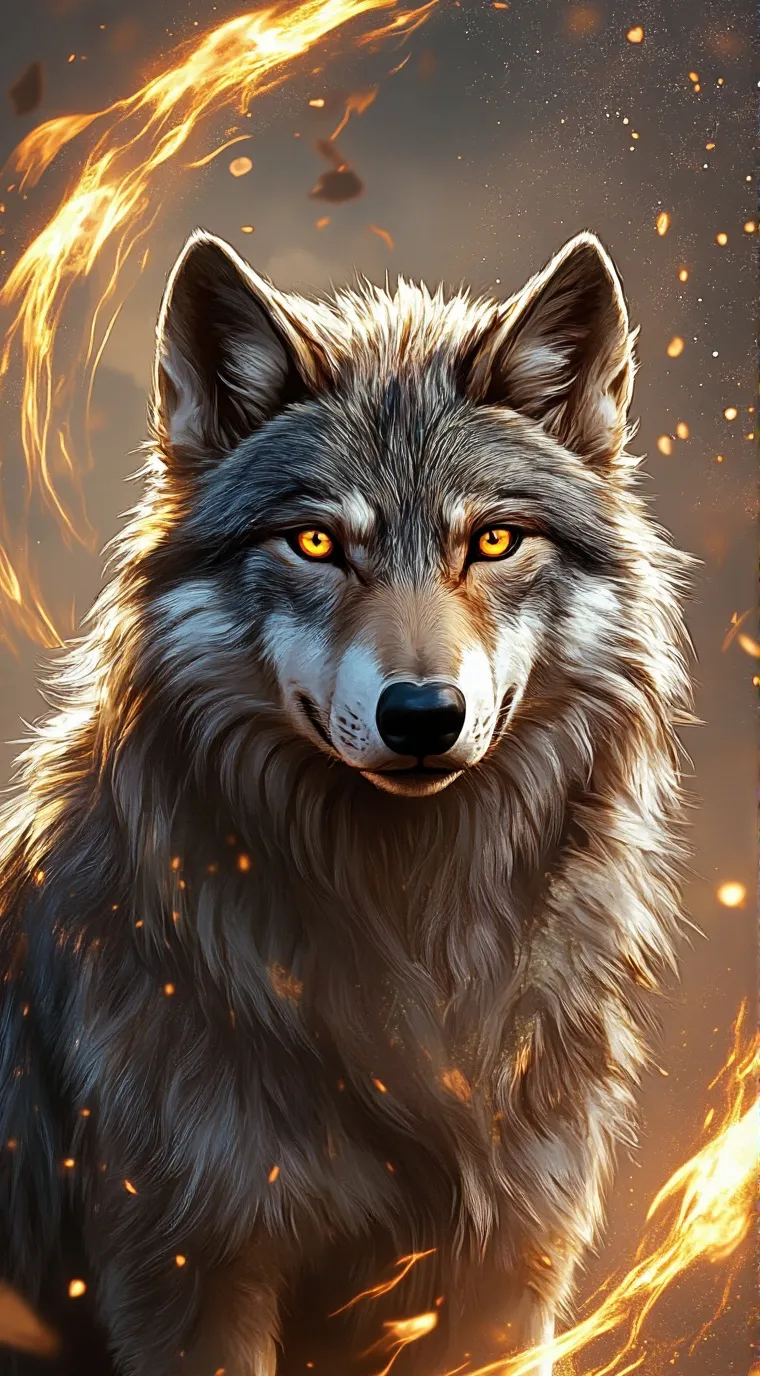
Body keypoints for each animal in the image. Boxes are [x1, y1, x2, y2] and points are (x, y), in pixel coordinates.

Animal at [0, 229, 693, 1376]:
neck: (410, 924)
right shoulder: (190, 1277)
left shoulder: (511, 1271)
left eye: (492, 541)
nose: (422, 714)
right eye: (317, 543)